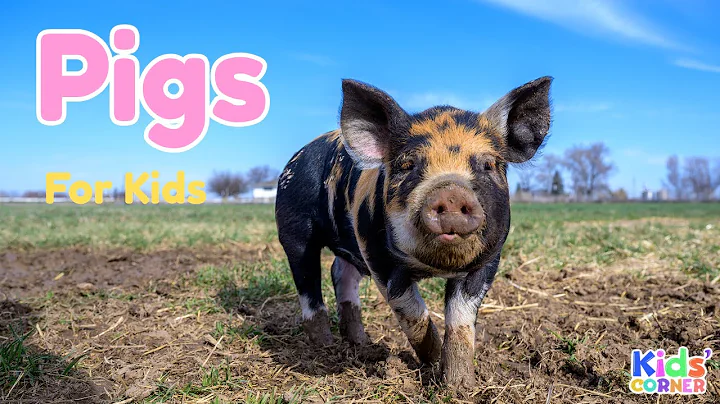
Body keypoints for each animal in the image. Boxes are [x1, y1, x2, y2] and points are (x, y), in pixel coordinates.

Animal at [275, 76, 552, 388]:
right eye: (408, 165)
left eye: (489, 164)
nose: (452, 193)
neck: (435, 267)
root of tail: (298, 155)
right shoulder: (377, 255)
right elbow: (411, 312)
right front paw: (430, 361)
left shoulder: (489, 259)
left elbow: (461, 321)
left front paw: (459, 385)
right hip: (294, 228)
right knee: (308, 282)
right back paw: (325, 345)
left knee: (341, 274)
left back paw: (361, 344)